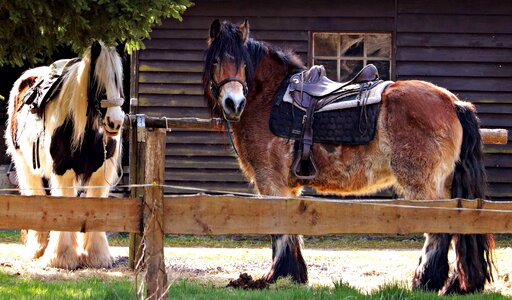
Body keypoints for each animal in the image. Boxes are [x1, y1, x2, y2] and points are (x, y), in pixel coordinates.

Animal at [5, 41, 124, 270]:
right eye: (98, 82)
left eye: (119, 81)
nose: (115, 122)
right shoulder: (63, 171)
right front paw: (62, 257)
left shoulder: (99, 175)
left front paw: (97, 256)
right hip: (26, 167)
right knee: (37, 197)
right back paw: (39, 249)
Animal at [202, 19, 494, 296]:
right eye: (216, 61)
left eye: (242, 63)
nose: (233, 103)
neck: (268, 97)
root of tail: (454, 103)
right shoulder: (287, 187)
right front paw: (295, 276)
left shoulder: (271, 181)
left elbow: (279, 228)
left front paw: (278, 275)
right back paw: (457, 284)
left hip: (423, 185)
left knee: (439, 228)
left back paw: (425, 281)